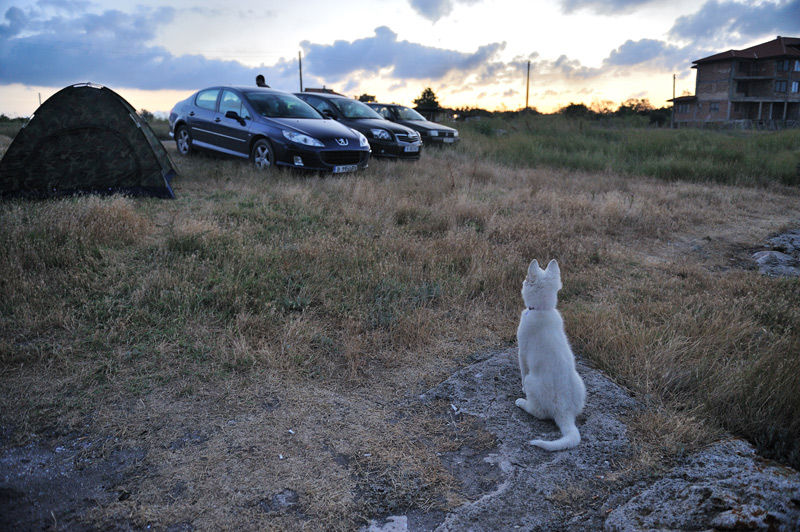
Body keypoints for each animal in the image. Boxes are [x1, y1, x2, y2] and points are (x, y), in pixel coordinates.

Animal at [515, 259, 585, 451]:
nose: (521, 282)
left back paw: (521, 402)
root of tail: (565, 411)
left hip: (533, 382)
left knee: (539, 412)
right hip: (581, 385)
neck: (543, 309)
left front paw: (521, 389)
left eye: (525, 280)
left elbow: (522, 371)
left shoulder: (522, 351)